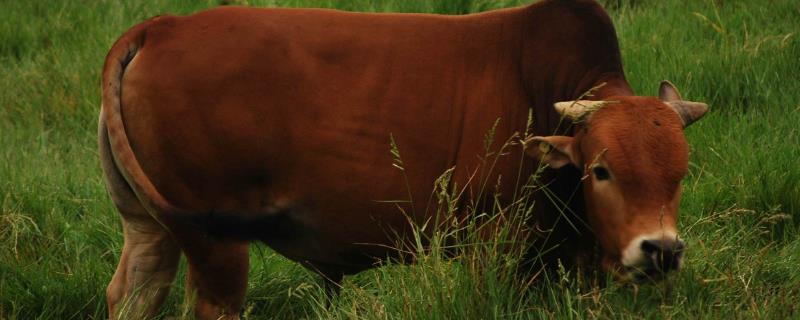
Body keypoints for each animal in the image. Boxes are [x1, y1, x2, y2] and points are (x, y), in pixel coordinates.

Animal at [98, 1, 708, 318]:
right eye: (601, 170)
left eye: (679, 176)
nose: (660, 250)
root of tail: (160, 26)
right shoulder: (493, 245)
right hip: (217, 245)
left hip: (149, 228)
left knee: (134, 292)